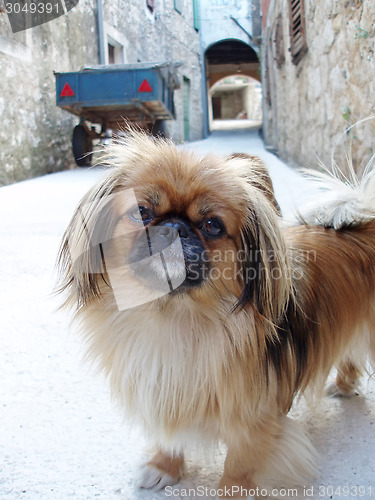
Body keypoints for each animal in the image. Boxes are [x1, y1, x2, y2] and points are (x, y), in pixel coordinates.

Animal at [57, 131, 375, 498]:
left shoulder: (254, 421)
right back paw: (344, 384)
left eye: (212, 225)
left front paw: (230, 491)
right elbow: (168, 436)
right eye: (140, 211)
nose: (174, 227)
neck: (174, 317)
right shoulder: (161, 391)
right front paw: (163, 468)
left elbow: (238, 467)